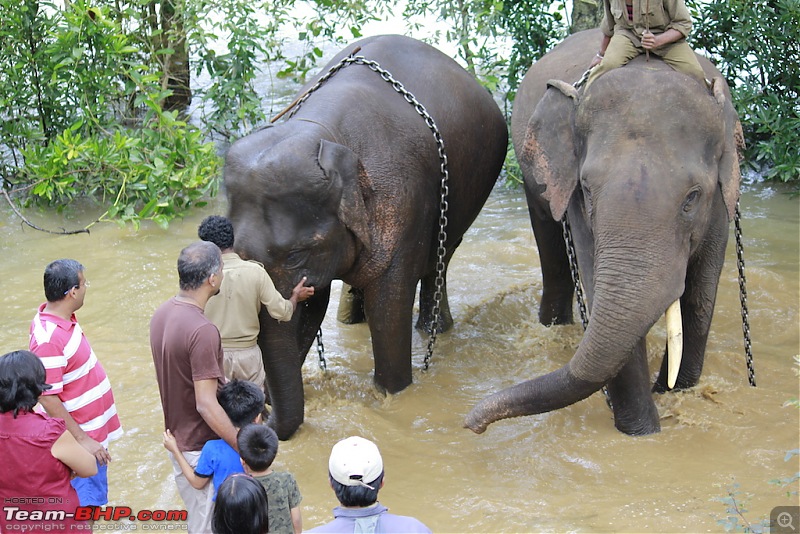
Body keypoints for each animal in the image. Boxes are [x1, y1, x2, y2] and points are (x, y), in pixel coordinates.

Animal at [223, 35, 506, 442]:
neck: (324, 132)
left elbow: (389, 305)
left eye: (295, 256)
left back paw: (434, 328)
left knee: (442, 258)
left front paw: (392, 395)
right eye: (238, 254)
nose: (262, 414)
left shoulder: (401, 202)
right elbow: (312, 306)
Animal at [462, 29, 744, 438]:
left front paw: (676, 394)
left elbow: (701, 294)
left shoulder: (722, 197)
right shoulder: (577, 202)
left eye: (692, 198)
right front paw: (643, 434)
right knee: (550, 244)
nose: (472, 424)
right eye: (587, 188)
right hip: (535, 180)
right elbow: (597, 286)